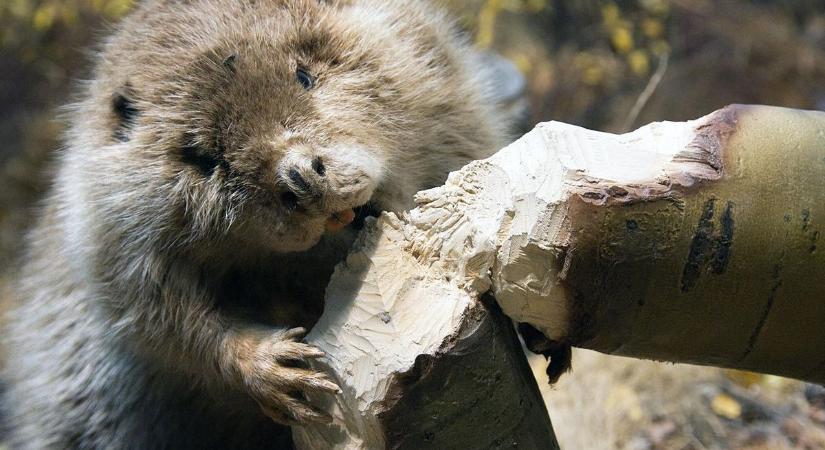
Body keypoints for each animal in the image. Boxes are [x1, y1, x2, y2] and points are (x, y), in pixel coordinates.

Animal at [1, 0, 516, 448]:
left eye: (305, 75)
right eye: (203, 156)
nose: (300, 179)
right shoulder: (105, 230)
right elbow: (157, 317)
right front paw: (279, 370)